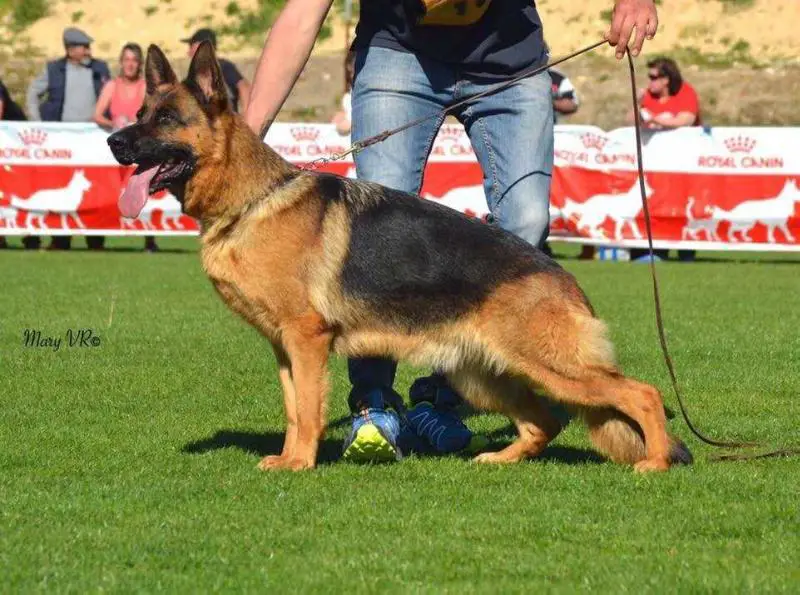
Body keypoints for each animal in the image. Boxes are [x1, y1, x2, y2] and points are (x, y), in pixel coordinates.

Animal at [108, 44, 692, 474]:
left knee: (642, 393)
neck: (250, 200)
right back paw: (501, 458)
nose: (113, 141)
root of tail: (561, 275)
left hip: (552, 366)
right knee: (544, 422)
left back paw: (657, 462)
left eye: (166, 118)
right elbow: (293, 409)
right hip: (485, 374)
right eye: (139, 114)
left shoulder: (306, 340)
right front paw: (289, 457)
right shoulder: (284, 347)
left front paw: (300, 465)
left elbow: (308, 411)